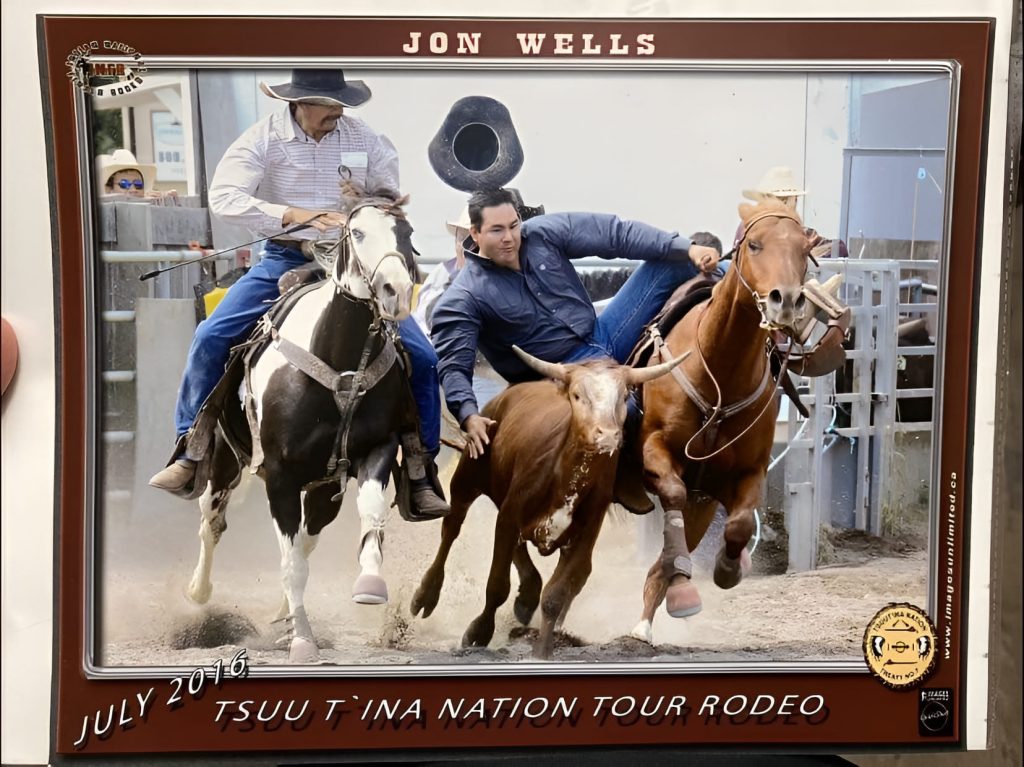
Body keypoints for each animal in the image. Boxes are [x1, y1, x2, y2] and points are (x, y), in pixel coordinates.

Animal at [186, 188, 417, 659]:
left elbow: (369, 512)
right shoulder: (280, 475)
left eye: (406, 232)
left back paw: (281, 612)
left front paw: (370, 584)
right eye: (357, 232)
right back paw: (200, 593)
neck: (341, 358)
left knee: (307, 539)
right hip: (223, 461)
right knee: (211, 522)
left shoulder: (377, 449)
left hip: (323, 488)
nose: (397, 291)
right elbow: (290, 563)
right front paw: (303, 641)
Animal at [626, 197, 811, 638]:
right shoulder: (654, 448)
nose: (786, 300)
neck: (718, 376)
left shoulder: (749, 471)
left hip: (703, 505)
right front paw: (685, 586)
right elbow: (672, 492)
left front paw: (729, 567)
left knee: (661, 565)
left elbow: (741, 523)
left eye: (804, 249)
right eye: (755, 245)